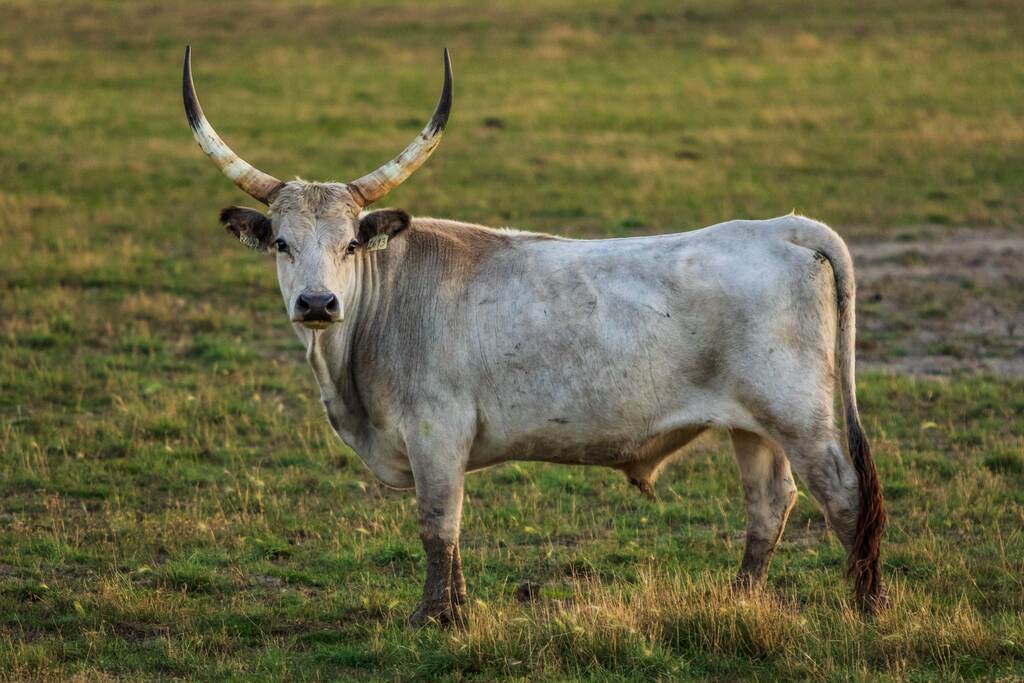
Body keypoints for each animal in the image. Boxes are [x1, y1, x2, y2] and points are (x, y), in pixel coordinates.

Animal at [182, 45, 880, 626]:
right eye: (281, 241)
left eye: (351, 243)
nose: (318, 302)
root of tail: (785, 226)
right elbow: (451, 531)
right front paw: (458, 610)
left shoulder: (437, 434)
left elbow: (437, 526)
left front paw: (432, 618)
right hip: (751, 427)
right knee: (770, 504)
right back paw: (737, 600)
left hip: (800, 419)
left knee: (846, 497)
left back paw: (865, 608)